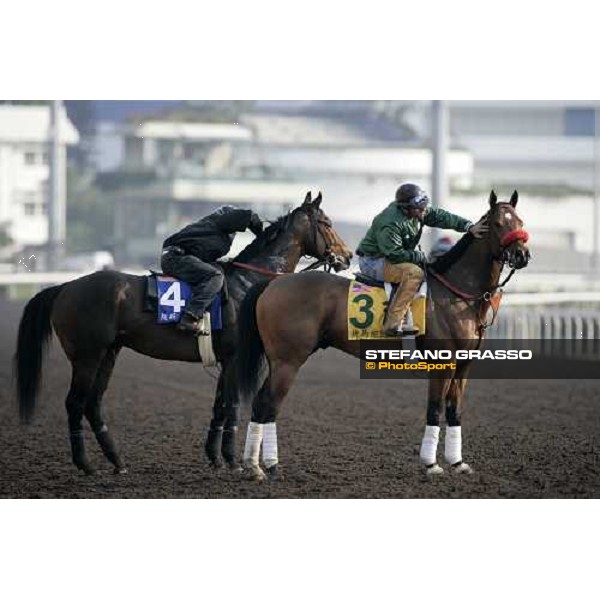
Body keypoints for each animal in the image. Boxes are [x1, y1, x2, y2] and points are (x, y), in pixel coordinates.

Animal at [14, 192, 354, 474]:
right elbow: (232, 407)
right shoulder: (235, 359)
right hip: (86, 356)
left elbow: (219, 407)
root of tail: (65, 287)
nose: (347, 256)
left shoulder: (225, 362)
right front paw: (233, 460)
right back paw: (85, 464)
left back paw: (117, 461)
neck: (247, 284)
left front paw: (216, 458)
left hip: (108, 353)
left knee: (92, 404)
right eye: (326, 222)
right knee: (75, 403)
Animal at [232, 190, 532, 480]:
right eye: (497, 223)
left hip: (279, 361)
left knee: (260, 404)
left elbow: (454, 410)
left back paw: (255, 465)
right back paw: (268, 465)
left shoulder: (464, 365)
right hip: (288, 361)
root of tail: (273, 283)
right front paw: (431, 464)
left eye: (520, 221)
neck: (457, 295)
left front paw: (458, 463)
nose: (521, 255)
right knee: (269, 405)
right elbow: (435, 409)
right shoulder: (441, 364)